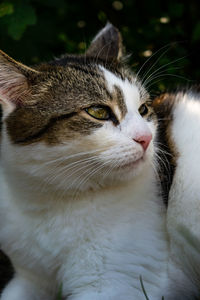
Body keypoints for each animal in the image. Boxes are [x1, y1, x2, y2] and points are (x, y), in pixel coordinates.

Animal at [0, 22, 195, 298]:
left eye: (143, 109)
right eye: (98, 112)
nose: (146, 138)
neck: (53, 199)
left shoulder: (119, 281)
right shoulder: (29, 278)